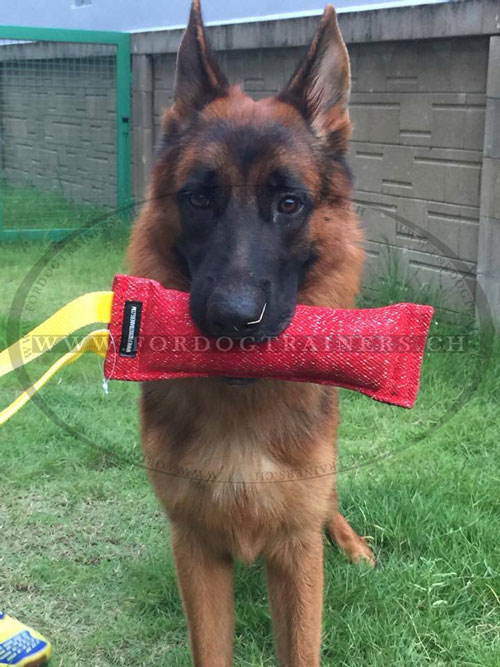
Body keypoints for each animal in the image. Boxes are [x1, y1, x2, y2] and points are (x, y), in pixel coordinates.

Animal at [129, 2, 376, 664]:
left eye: (289, 202)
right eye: (198, 198)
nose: (234, 320)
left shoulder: (296, 555)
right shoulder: (196, 551)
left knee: (332, 505)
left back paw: (352, 543)